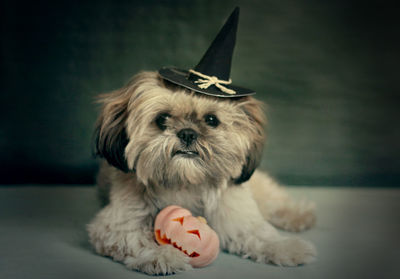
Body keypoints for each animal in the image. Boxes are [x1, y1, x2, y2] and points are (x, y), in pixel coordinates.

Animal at [86, 72, 316, 276]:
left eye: (211, 120)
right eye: (162, 119)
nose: (188, 133)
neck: (185, 182)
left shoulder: (235, 215)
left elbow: (258, 233)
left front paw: (283, 247)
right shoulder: (118, 224)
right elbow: (137, 239)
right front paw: (160, 254)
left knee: (272, 200)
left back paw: (297, 215)